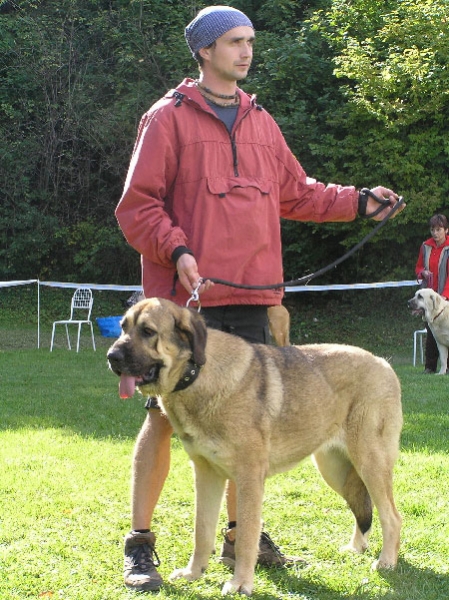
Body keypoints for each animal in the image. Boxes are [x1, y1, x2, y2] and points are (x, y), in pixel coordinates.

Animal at [107, 298, 402, 596]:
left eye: (148, 331)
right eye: (123, 328)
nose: (111, 357)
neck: (200, 374)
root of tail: (383, 363)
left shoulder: (248, 478)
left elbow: (246, 535)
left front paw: (240, 583)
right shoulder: (207, 475)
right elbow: (202, 530)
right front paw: (194, 573)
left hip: (370, 463)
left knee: (391, 516)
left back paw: (386, 562)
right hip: (335, 469)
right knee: (361, 509)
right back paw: (356, 548)